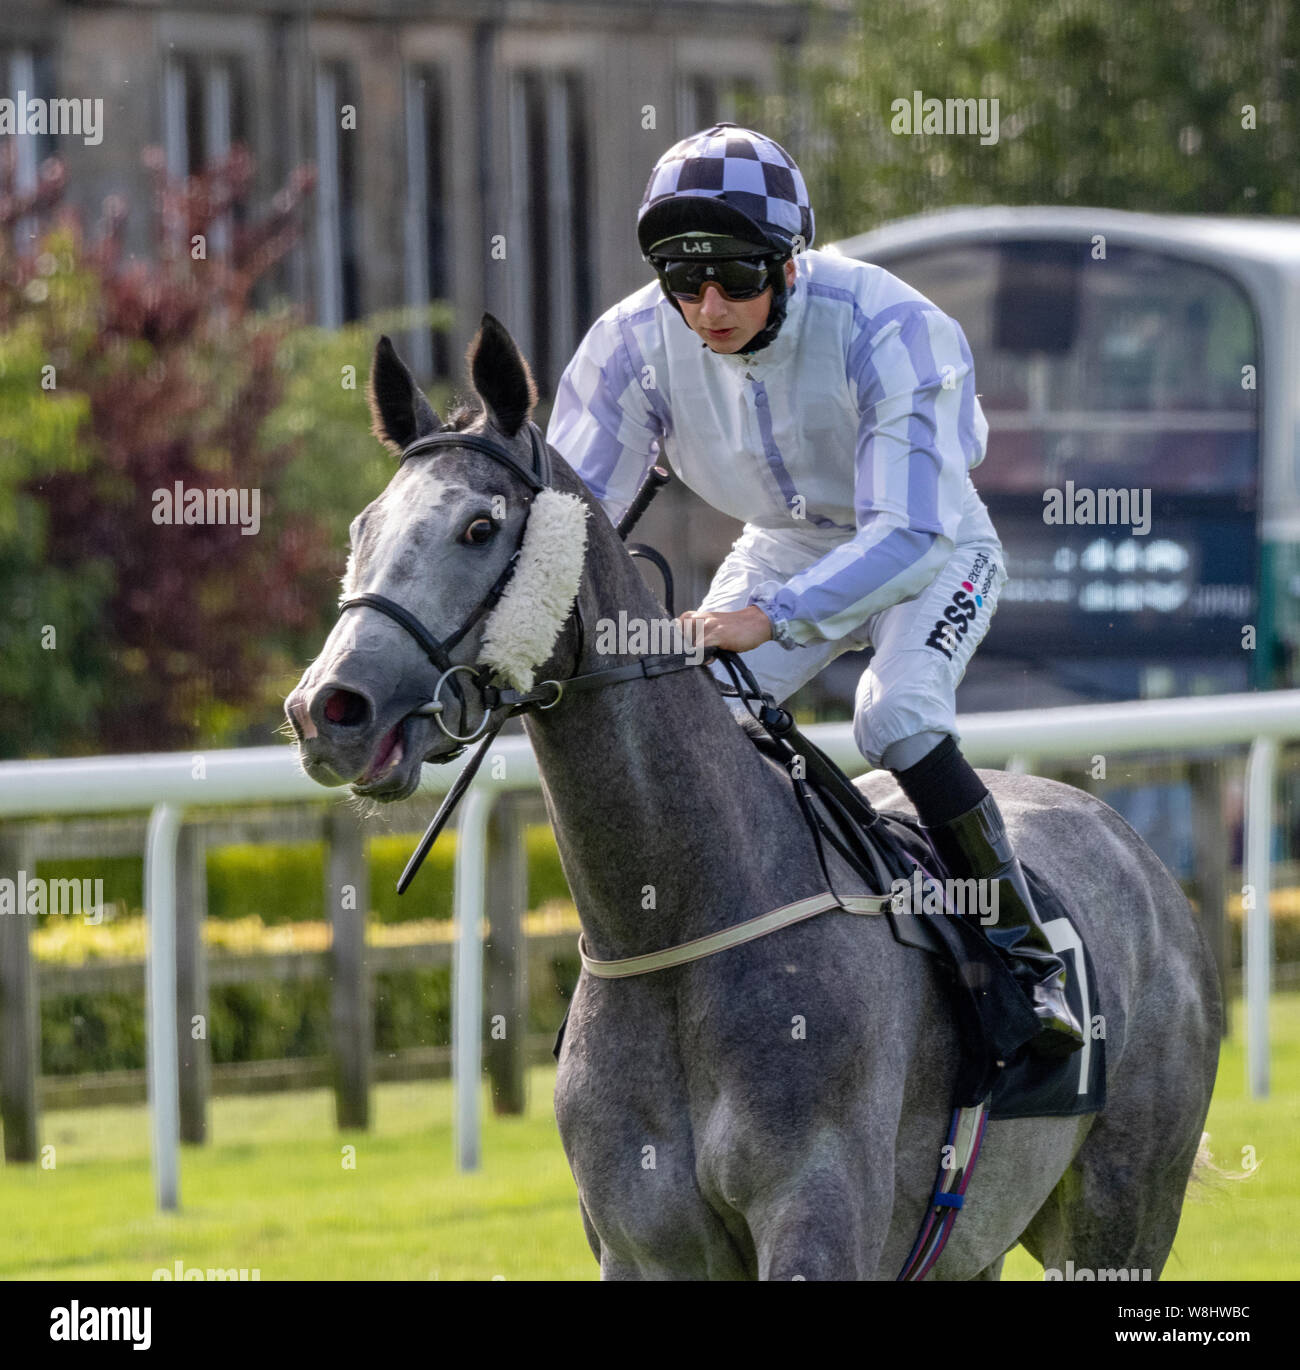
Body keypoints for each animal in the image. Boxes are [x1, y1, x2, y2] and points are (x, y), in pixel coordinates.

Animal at [283, 315, 1216, 1276]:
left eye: (478, 526)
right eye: (363, 527)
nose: (329, 709)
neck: (673, 923)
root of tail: (1128, 845)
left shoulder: (814, 1216)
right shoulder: (640, 1244)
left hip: (1119, 1209)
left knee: (903, 714)